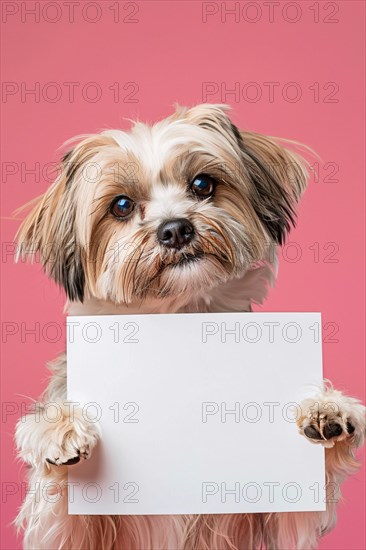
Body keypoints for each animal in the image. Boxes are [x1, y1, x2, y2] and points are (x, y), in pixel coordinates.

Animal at [15, 104, 366, 550]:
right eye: (121, 205)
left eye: (202, 184)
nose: (175, 228)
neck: (179, 316)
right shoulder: (73, 531)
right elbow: (60, 506)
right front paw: (56, 429)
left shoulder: (279, 523)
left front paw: (329, 409)